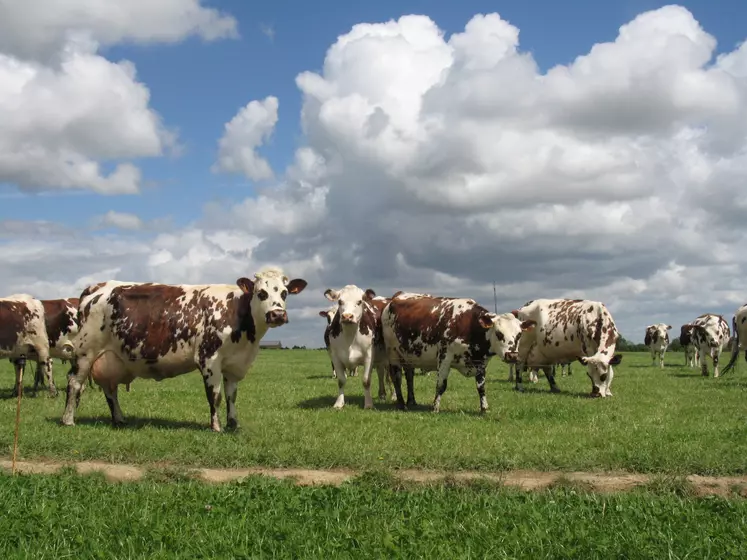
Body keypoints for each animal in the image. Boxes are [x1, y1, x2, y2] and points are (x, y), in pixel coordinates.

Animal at [60, 270, 308, 430]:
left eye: (284, 293)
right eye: (261, 293)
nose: (277, 314)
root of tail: (97, 286)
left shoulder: (234, 363)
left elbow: (232, 396)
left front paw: (233, 424)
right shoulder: (209, 358)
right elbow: (215, 395)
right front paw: (216, 427)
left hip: (110, 359)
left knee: (110, 390)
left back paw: (119, 419)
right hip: (85, 352)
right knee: (74, 383)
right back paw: (68, 420)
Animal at [382, 294, 536, 412]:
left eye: (519, 334)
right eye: (499, 333)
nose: (512, 355)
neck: (470, 325)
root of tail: (393, 301)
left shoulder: (480, 362)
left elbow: (481, 387)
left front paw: (484, 408)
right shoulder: (444, 357)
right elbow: (441, 385)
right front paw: (435, 408)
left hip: (408, 356)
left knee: (409, 376)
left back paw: (411, 401)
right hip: (393, 353)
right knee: (396, 378)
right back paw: (402, 404)